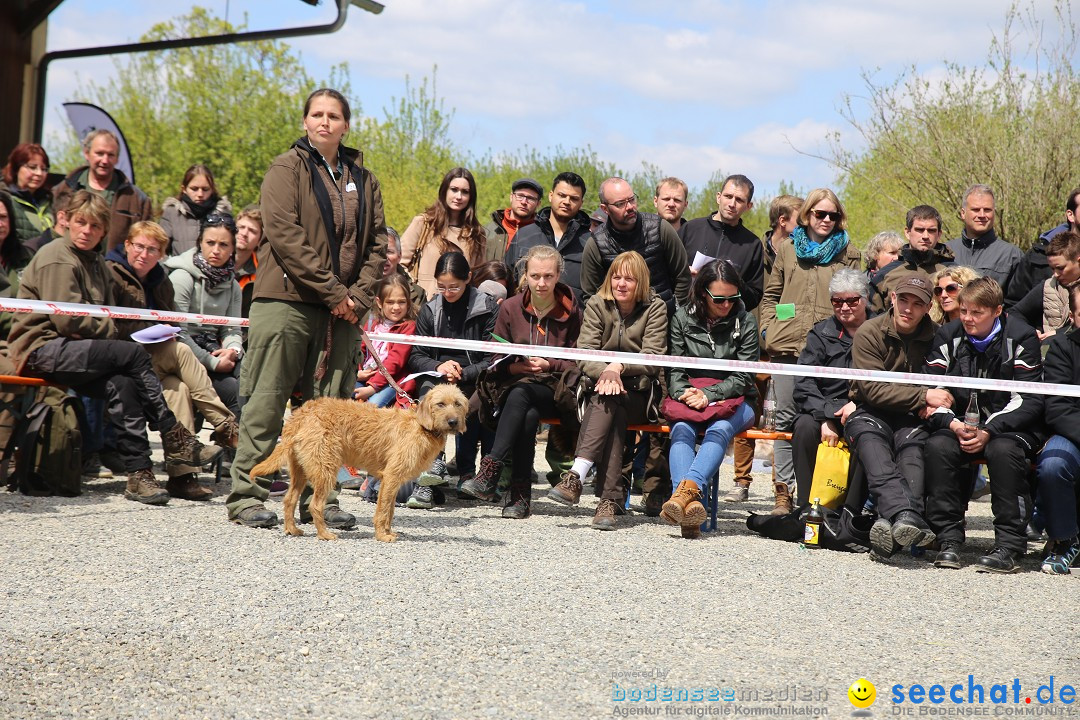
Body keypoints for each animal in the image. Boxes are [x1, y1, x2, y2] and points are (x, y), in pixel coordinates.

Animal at [248, 382, 468, 539]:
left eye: (458, 403)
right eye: (440, 404)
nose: (453, 422)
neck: (421, 426)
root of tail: (302, 412)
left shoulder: (393, 481)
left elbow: (390, 510)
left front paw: (388, 532)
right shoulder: (391, 476)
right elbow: (383, 510)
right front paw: (382, 536)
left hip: (300, 471)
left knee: (289, 499)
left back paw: (292, 530)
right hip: (326, 470)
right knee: (315, 505)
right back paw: (324, 534)